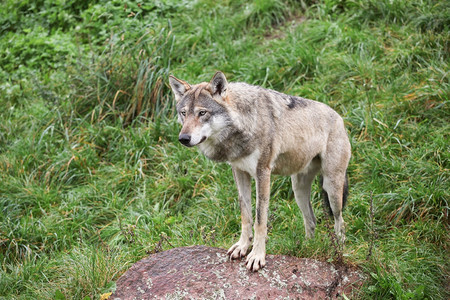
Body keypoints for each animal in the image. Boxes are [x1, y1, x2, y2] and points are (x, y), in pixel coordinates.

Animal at [169, 71, 352, 272]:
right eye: (184, 113)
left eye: (202, 113)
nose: (183, 138)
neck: (244, 123)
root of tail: (340, 118)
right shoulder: (239, 172)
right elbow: (246, 215)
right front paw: (242, 247)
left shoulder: (263, 174)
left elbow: (259, 220)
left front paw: (257, 256)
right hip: (298, 190)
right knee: (311, 221)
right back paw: (307, 248)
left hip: (331, 189)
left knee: (340, 222)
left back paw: (339, 251)